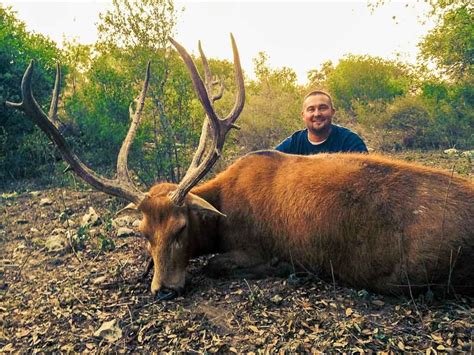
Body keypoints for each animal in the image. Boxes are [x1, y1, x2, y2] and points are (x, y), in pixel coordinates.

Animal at [7, 36, 474, 298]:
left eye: (182, 227)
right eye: (142, 232)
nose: (164, 292)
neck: (222, 215)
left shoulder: (256, 246)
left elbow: (219, 264)